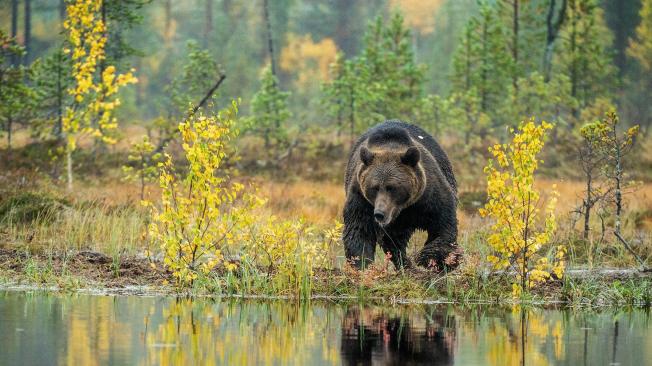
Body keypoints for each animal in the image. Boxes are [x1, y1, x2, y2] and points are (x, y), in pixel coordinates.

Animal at [342, 121, 458, 270]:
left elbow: (442, 224)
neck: (403, 207)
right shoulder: (361, 198)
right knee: (393, 242)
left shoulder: (429, 195)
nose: (379, 214)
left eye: (392, 187)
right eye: (374, 188)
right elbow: (358, 230)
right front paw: (362, 264)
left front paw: (435, 259)